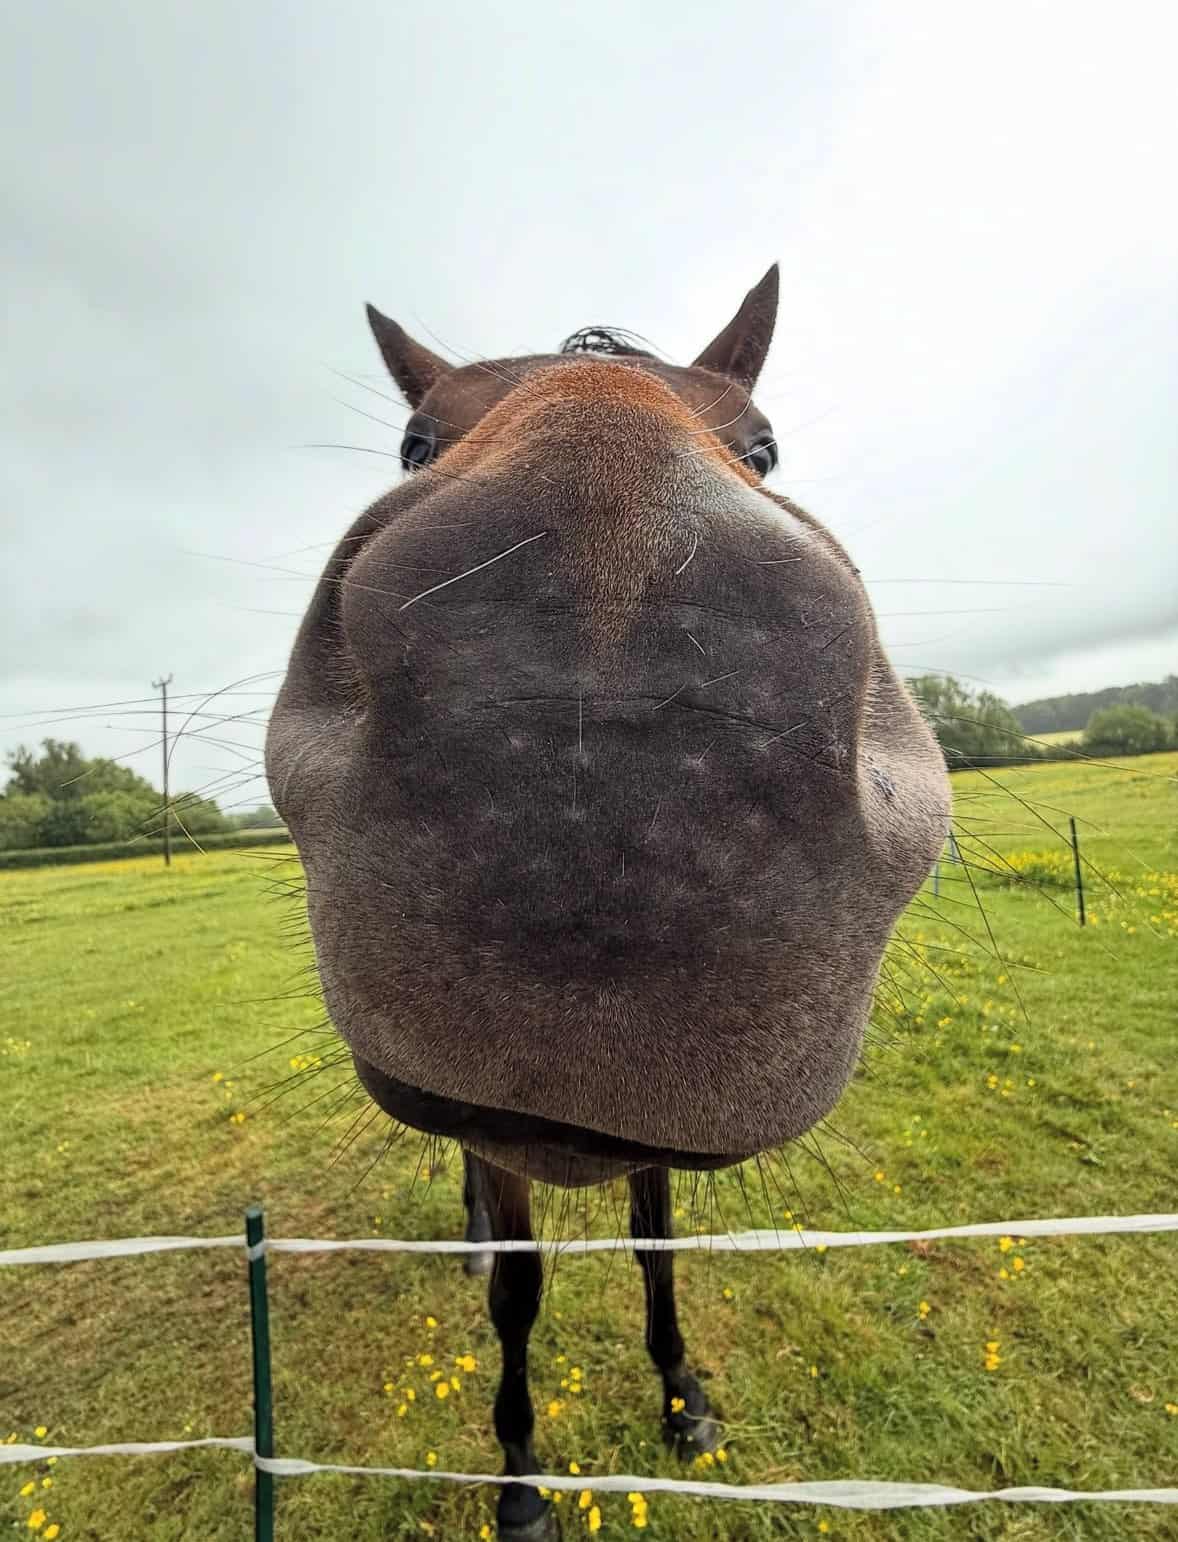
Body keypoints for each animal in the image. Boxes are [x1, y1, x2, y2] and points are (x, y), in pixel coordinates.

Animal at [265, 265, 951, 1540]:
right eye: (412, 440)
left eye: (764, 445)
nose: (597, 695)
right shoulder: (500, 1134)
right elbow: (522, 1292)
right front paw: (520, 1482)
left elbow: (655, 1247)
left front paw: (680, 1396)